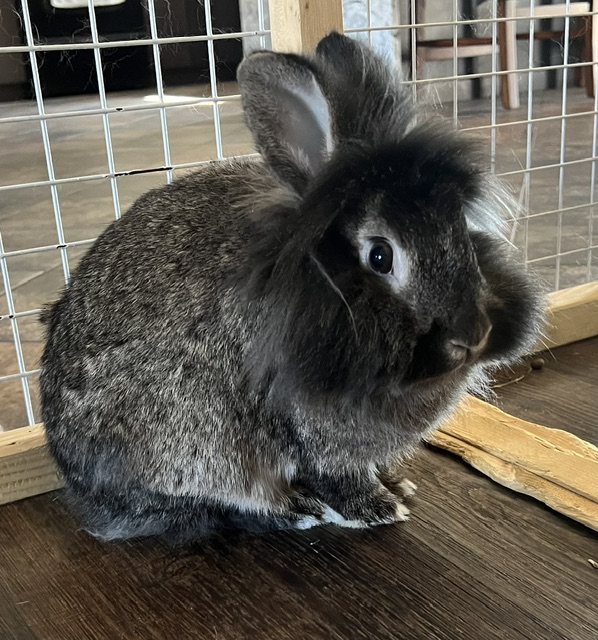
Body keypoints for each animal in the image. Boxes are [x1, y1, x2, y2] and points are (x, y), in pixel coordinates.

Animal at [39, 32, 544, 542]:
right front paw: (380, 506)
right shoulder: (319, 436)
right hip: (198, 447)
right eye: (381, 256)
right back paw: (299, 508)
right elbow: (338, 476)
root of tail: (88, 490)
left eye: (462, 231)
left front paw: (397, 485)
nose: (473, 336)